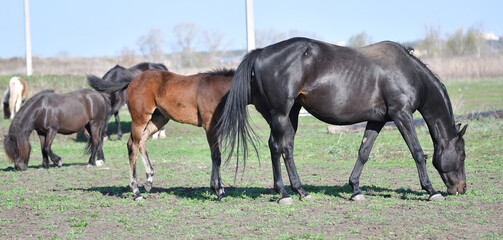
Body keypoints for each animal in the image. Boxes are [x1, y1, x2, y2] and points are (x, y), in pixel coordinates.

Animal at [88, 68, 242, 200]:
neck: (216, 90)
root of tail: (132, 81)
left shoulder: (217, 128)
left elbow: (216, 156)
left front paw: (218, 189)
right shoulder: (209, 127)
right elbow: (216, 157)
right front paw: (219, 191)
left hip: (158, 119)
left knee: (142, 142)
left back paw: (149, 180)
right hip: (140, 119)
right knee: (133, 145)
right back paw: (136, 192)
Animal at [219, 37, 470, 204]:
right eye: (462, 155)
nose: (461, 188)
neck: (408, 72)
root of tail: (261, 51)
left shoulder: (377, 120)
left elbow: (364, 152)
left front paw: (356, 189)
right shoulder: (402, 115)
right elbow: (417, 152)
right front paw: (431, 190)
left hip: (291, 114)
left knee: (286, 148)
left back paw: (301, 191)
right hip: (280, 113)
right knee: (275, 147)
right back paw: (283, 194)